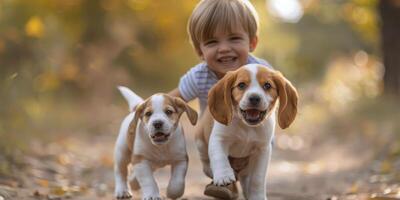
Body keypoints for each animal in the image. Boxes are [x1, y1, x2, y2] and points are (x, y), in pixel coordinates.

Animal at [195, 64, 298, 200]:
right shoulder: (218, 139)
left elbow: (257, 178)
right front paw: (223, 176)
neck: (247, 127)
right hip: (200, 141)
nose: (254, 98)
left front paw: (257, 196)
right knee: (205, 161)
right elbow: (219, 157)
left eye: (267, 85)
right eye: (241, 85)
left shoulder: (262, 149)